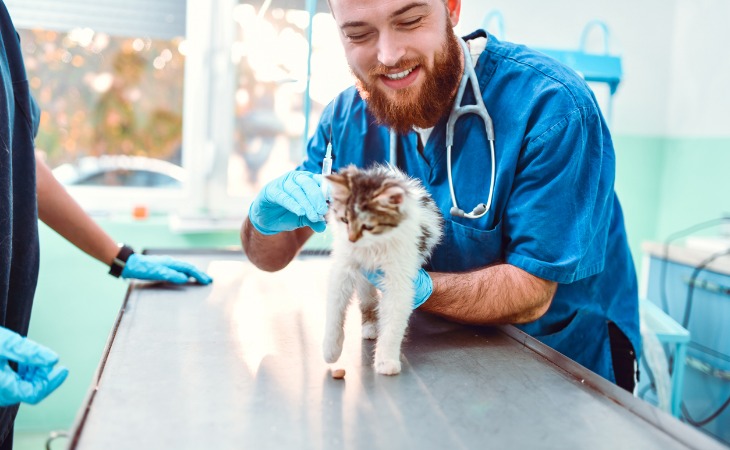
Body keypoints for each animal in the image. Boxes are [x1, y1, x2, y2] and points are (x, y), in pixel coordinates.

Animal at [322, 163, 440, 374]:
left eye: (368, 226)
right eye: (345, 220)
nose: (351, 238)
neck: (372, 247)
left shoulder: (399, 279)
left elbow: (393, 324)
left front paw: (386, 360)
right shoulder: (343, 268)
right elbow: (334, 312)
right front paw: (330, 349)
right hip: (363, 279)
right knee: (368, 301)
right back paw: (370, 326)